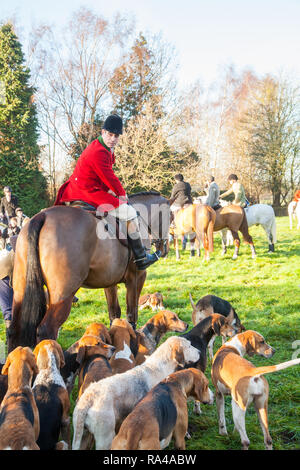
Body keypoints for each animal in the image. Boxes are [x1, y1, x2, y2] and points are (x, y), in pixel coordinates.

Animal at [7, 192, 169, 352]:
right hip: (63, 295)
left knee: (13, 329)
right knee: (46, 330)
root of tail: (42, 216)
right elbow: (131, 316)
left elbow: (114, 315)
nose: (164, 249)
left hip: (21, 291)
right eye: (170, 217)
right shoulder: (136, 278)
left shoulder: (109, 282)